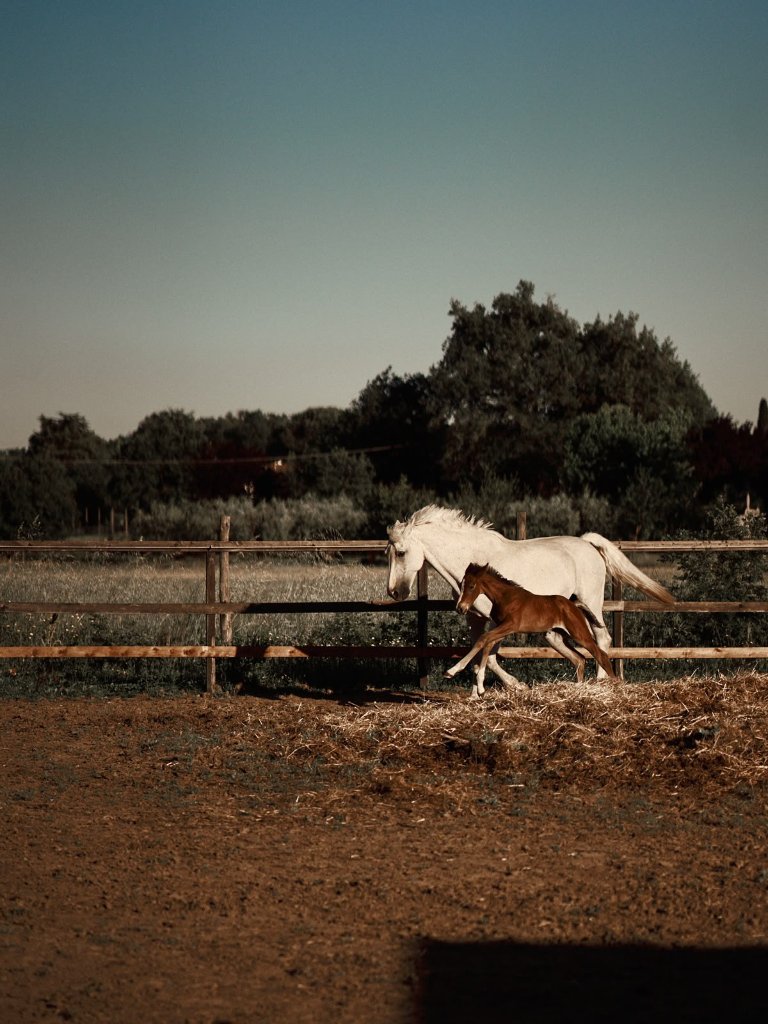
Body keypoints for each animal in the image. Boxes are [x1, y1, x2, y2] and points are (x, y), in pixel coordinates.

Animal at [445, 563, 617, 694]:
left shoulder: (511, 625)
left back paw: (616, 686)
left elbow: (483, 639)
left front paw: (452, 671)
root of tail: (574, 605)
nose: (460, 608)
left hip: (579, 633)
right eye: (461, 585)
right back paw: (579, 688)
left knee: (601, 655)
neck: (505, 597)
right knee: (579, 659)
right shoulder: (503, 628)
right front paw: (480, 688)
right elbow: (488, 644)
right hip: (555, 638)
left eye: (472, 586)